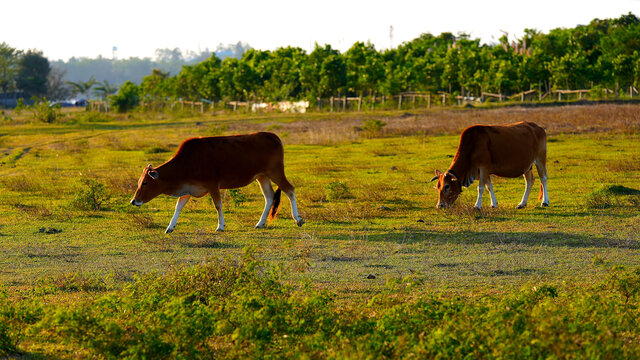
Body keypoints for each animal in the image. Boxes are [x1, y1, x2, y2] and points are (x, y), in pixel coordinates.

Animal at [130, 132, 304, 233]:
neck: (187, 162)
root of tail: (273, 136)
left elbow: (218, 205)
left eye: (145, 183)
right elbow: (178, 207)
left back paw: (298, 219)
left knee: (290, 190)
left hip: (275, 172)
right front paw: (170, 226)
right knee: (269, 197)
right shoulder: (188, 189)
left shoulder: (213, 184)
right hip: (262, 176)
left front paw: (220, 226)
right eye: (139, 182)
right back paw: (260, 223)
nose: (133, 201)